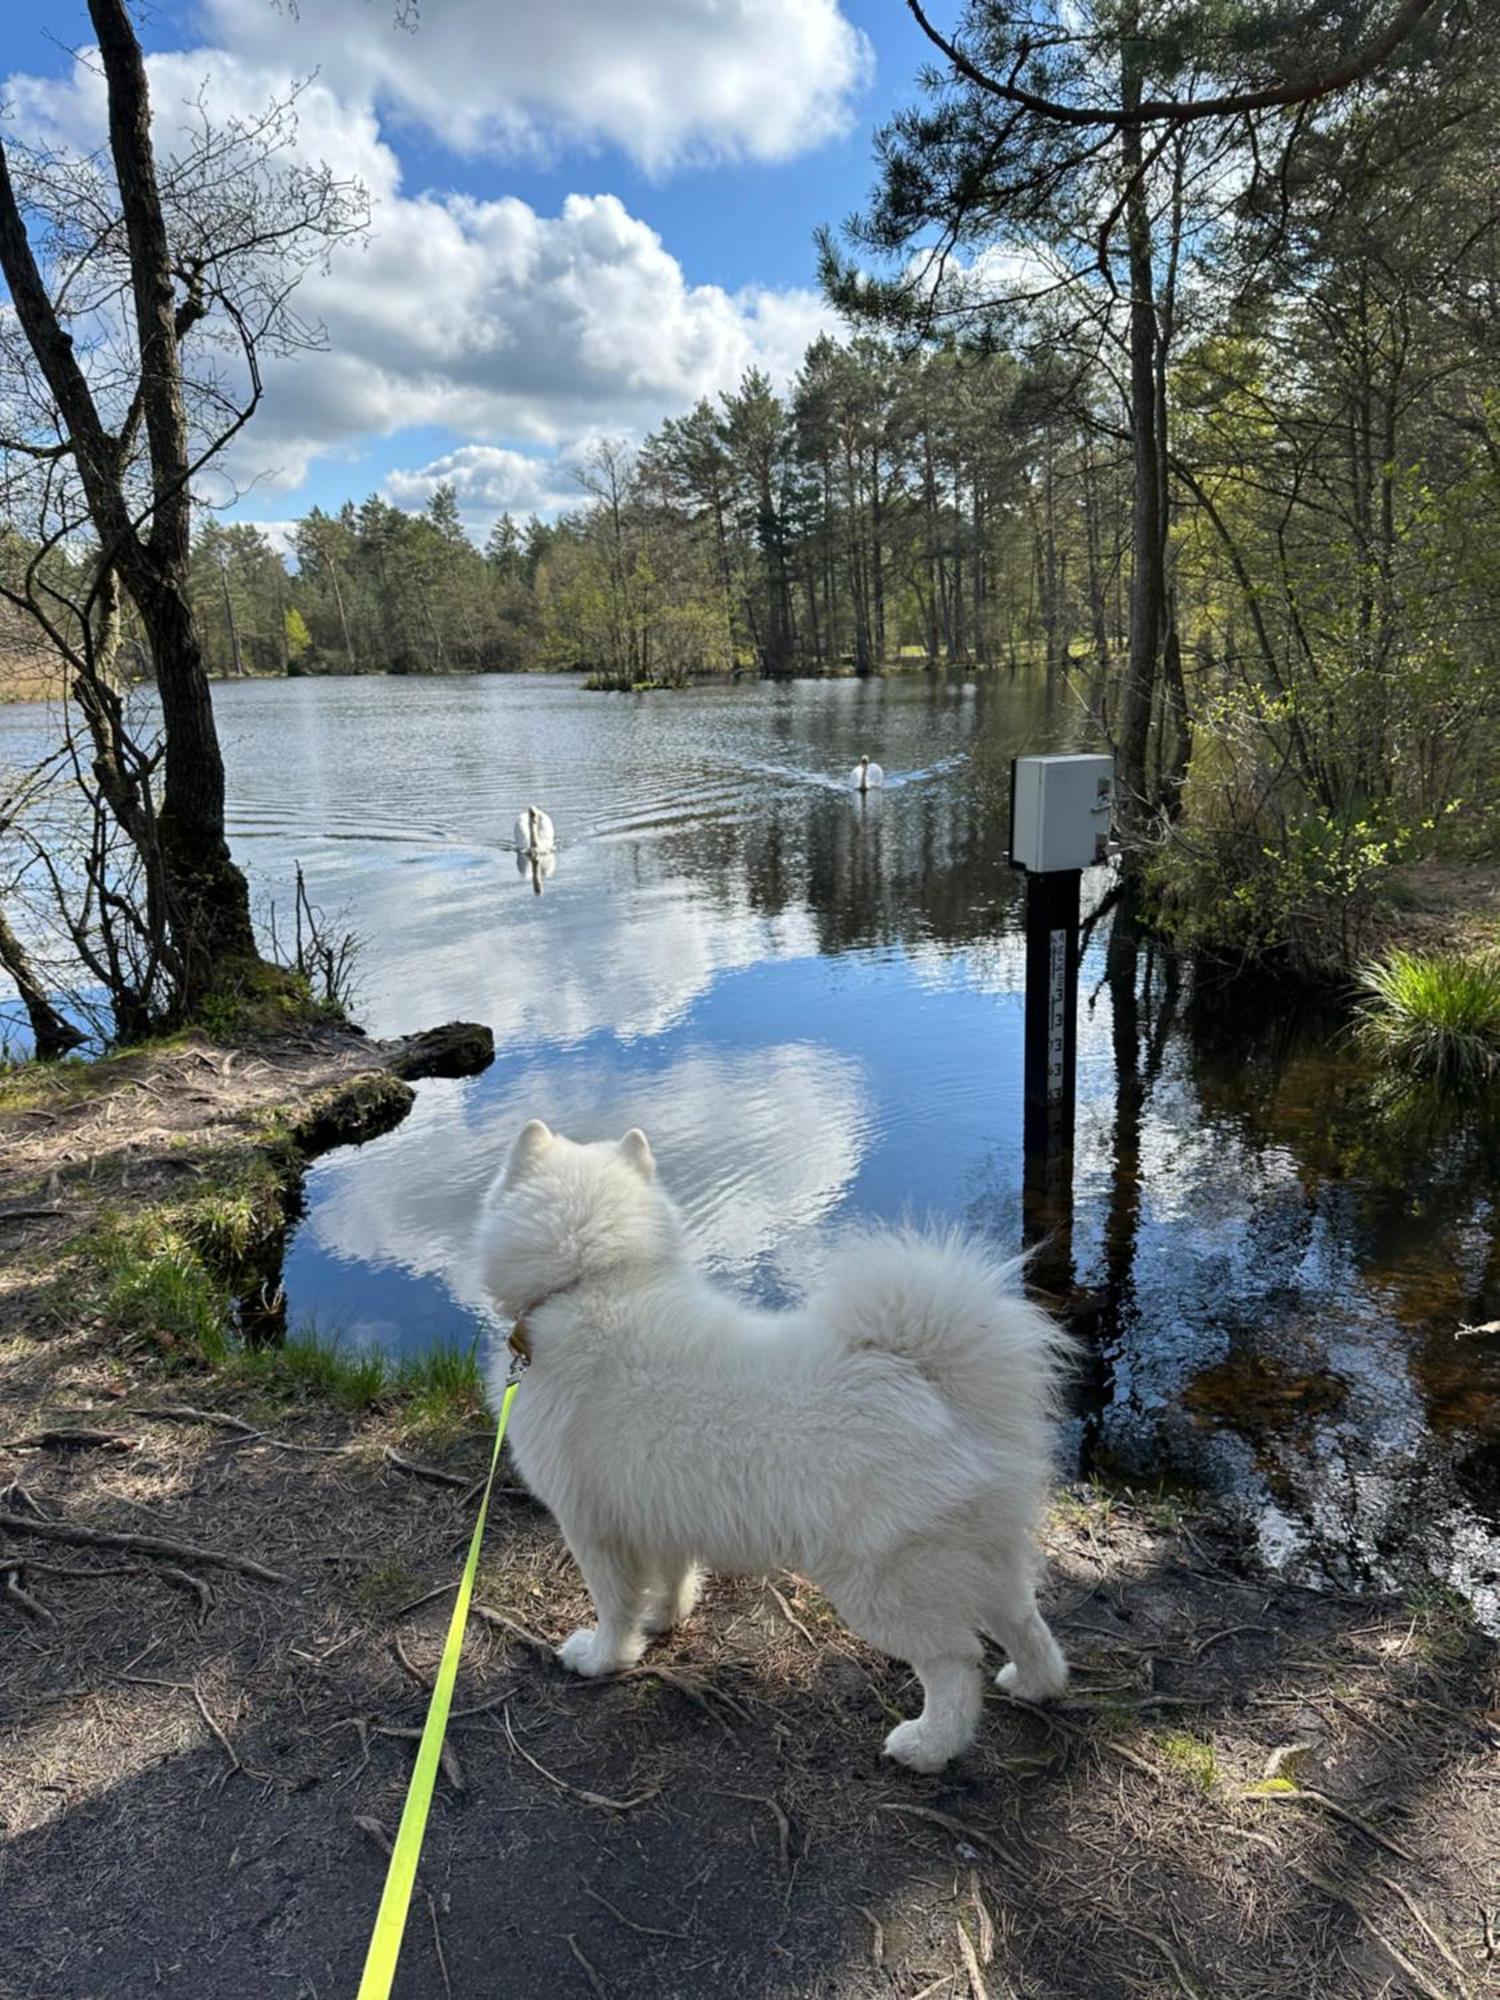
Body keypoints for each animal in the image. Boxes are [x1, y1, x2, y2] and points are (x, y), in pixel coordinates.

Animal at [476, 1120, 1072, 1776]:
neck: (594, 1280)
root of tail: (930, 1379)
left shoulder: (591, 1528)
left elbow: (614, 1606)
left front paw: (602, 1657)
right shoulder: (660, 1509)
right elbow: (671, 1579)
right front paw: (664, 1619)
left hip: (886, 1582)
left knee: (955, 1664)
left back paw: (925, 1745)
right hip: (980, 1552)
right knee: (1024, 1620)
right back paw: (1036, 1683)